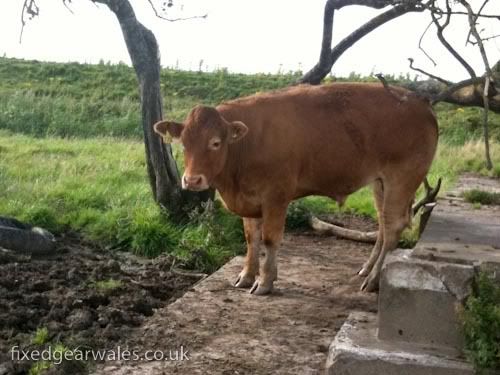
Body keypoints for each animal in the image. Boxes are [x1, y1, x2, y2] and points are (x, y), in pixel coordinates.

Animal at [153, 83, 438, 296]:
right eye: (183, 143)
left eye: (215, 142)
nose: (192, 180)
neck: (245, 146)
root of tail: (419, 101)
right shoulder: (249, 199)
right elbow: (251, 238)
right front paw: (246, 276)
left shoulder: (276, 196)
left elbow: (270, 239)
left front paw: (265, 282)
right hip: (380, 183)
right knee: (382, 225)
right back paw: (367, 270)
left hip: (402, 178)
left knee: (392, 227)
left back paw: (375, 280)